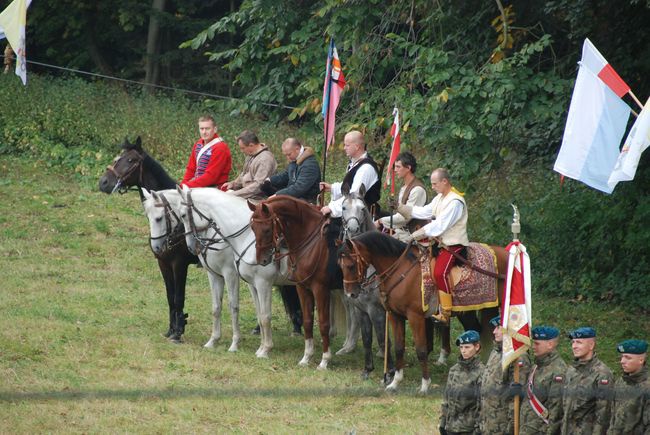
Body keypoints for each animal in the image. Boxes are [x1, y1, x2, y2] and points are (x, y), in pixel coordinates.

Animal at [98, 138, 197, 342]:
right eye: (119, 156)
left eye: (130, 160)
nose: (103, 182)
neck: (172, 217)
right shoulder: (163, 263)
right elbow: (170, 296)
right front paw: (172, 328)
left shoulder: (179, 264)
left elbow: (179, 297)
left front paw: (178, 332)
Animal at [247, 196, 344, 370]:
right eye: (252, 227)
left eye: (267, 229)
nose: (262, 260)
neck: (311, 244)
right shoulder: (302, 288)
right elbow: (307, 321)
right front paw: (306, 357)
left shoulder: (320, 289)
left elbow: (323, 324)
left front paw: (324, 360)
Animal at [340, 233, 506, 394]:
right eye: (340, 266)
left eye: (351, 266)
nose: (350, 294)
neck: (401, 270)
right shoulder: (395, 316)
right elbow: (399, 348)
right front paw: (394, 383)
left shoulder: (415, 317)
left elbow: (421, 350)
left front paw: (425, 385)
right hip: (472, 311)